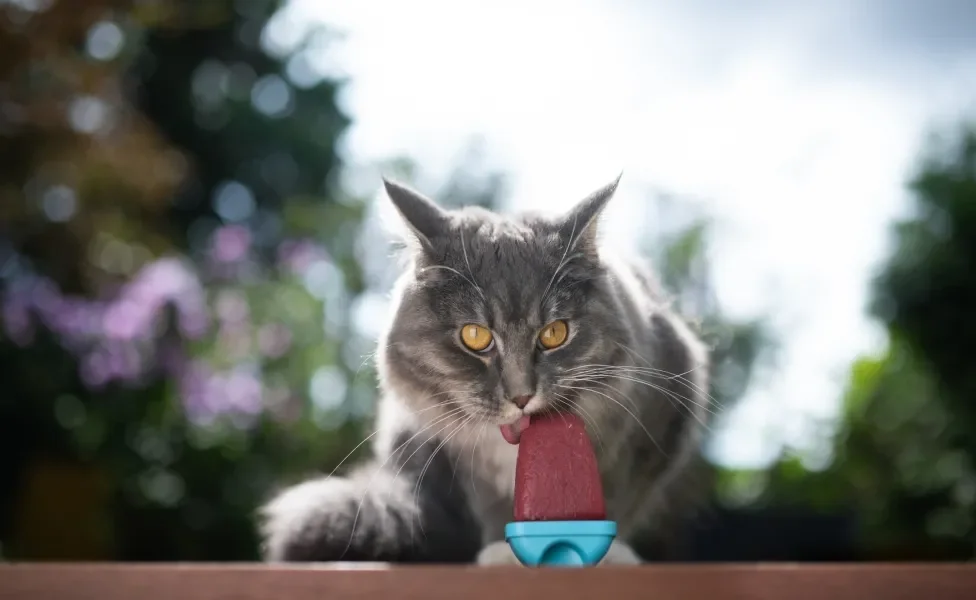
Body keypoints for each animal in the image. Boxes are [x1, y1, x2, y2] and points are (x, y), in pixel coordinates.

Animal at [258, 175, 708, 568]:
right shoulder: (459, 460)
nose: (521, 395)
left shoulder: (659, 420)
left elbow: (615, 497)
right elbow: (490, 510)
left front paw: (606, 554)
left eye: (555, 333)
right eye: (475, 336)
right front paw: (503, 553)